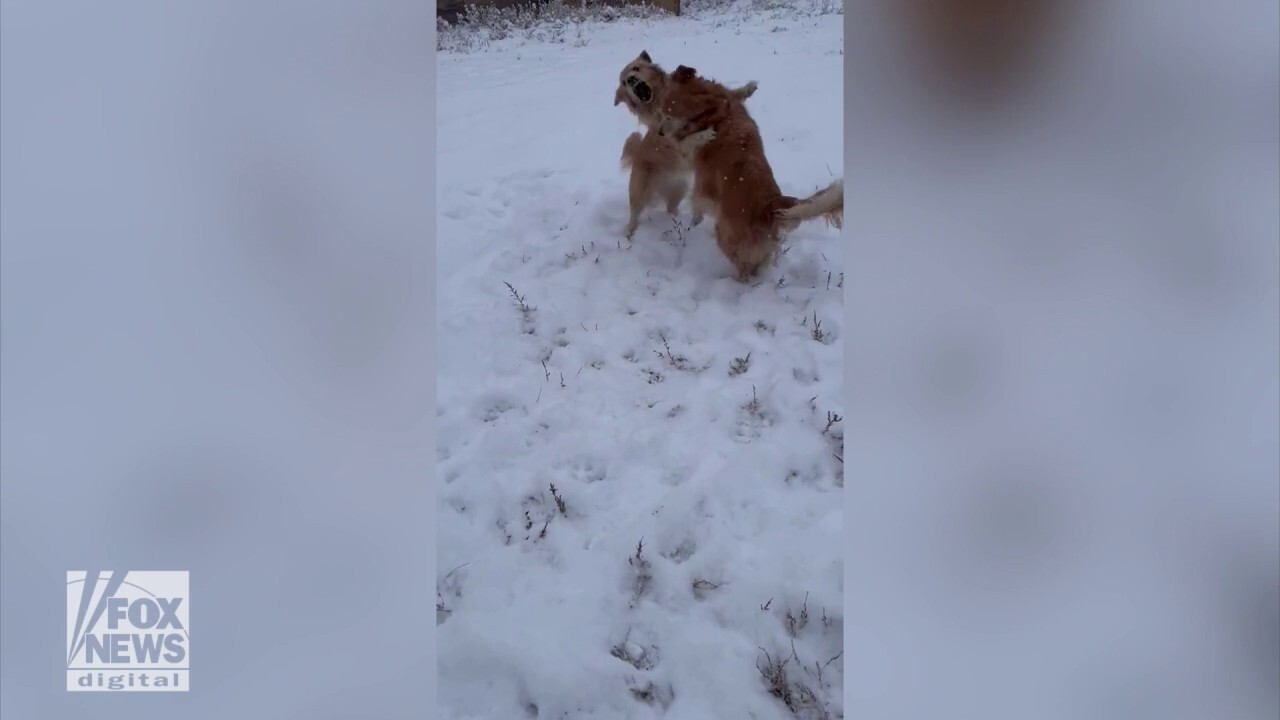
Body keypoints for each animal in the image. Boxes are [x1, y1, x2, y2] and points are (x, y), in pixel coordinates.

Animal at [611, 53, 752, 238]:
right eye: (624, 82)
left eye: (636, 68)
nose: (631, 79)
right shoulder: (674, 140)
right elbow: (686, 139)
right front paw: (704, 134)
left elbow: (729, 94)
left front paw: (748, 88)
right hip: (639, 191)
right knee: (634, 212)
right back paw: (630, 232)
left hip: (680, 188)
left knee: (671, 207)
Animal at [655, 63, 844, 280]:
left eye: (668, 115)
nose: (660, 132)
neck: (715, 110)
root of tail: (770, 205)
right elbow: (736, 94)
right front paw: (748, 88)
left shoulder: (697, 169)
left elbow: (687, 147)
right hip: (765, 248)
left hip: (728, 237)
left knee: (743, 268)